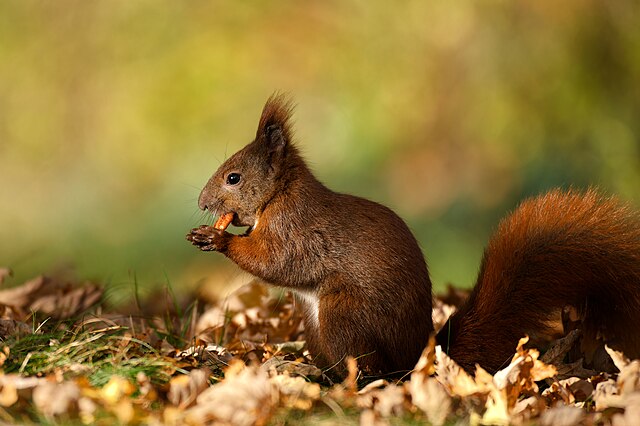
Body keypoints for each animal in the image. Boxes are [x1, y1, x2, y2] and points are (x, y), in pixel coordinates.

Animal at [187, 94, 640, 376]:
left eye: (233, 177)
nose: (201, 201)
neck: (279, 194)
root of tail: (417, 357)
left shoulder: (296, 228)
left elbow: (277, 261)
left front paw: (217, 239)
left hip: (343, 313)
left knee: (372, 369)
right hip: (316, 326)